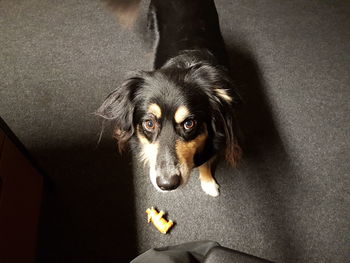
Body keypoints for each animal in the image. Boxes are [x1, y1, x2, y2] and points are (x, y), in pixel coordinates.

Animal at [98, 0, 241, 197]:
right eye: (149, 124)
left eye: (189, 123)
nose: (167, 184)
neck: (185, 66)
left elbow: (206, 162)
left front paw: (208, 182)